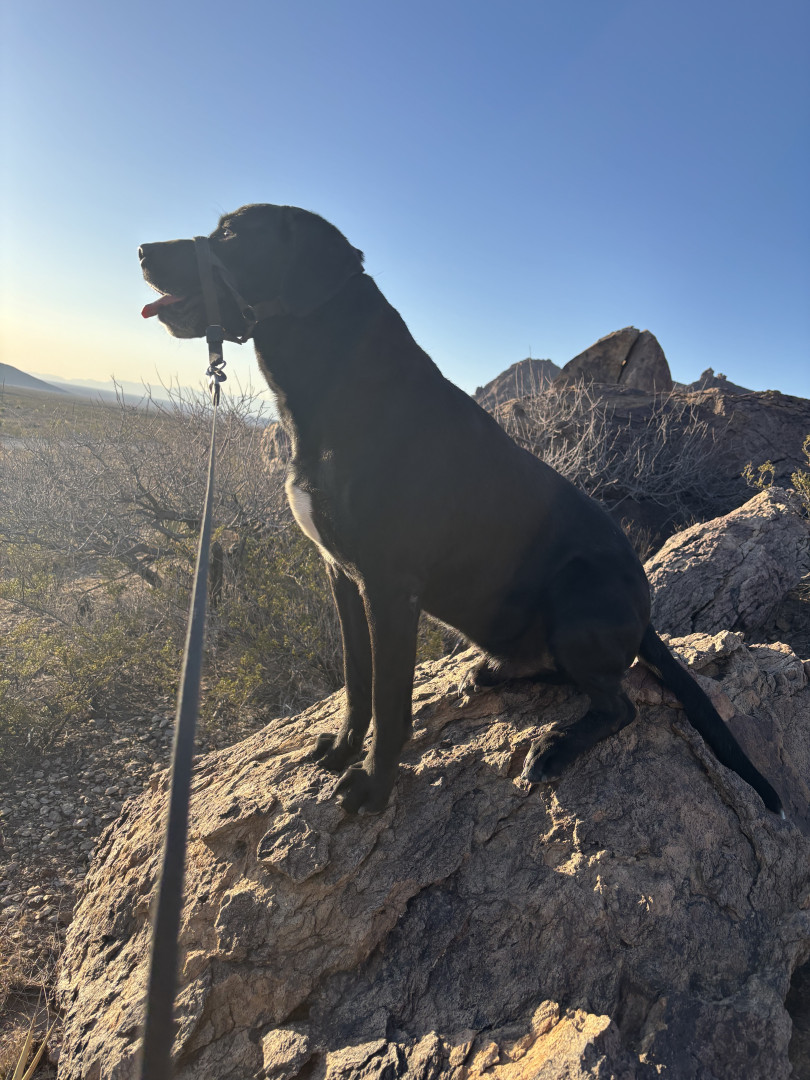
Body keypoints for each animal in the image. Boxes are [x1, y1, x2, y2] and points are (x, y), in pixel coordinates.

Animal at [139, 204, 782, 818]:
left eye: (231, 235)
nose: (143, 249)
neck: (341, 384)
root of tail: (645, 616)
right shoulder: (341, 575)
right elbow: (357, 683)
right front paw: (343, 749)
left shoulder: (389, 587)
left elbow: (389, 702)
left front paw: (373, 787)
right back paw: (493, 672)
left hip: (577, 593)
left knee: (618, 703)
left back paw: (555, 747)